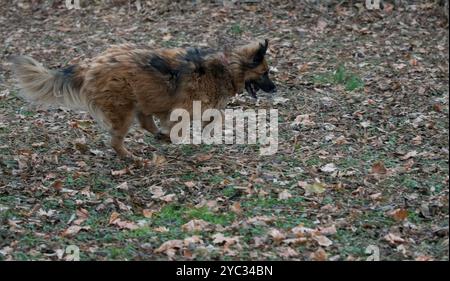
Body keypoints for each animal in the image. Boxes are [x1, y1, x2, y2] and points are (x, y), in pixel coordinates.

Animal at [10, 38, 276, 159]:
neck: (228, 67)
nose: (274, 89)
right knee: (116, 140)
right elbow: (193, 122)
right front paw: (174, 136)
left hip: (139, 101)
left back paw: (154, 138)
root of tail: (90, 66)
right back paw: (129, 156)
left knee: (146, 122)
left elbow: (211, 119)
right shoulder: (184, 107)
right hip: (124, 110)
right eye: (265, 73)